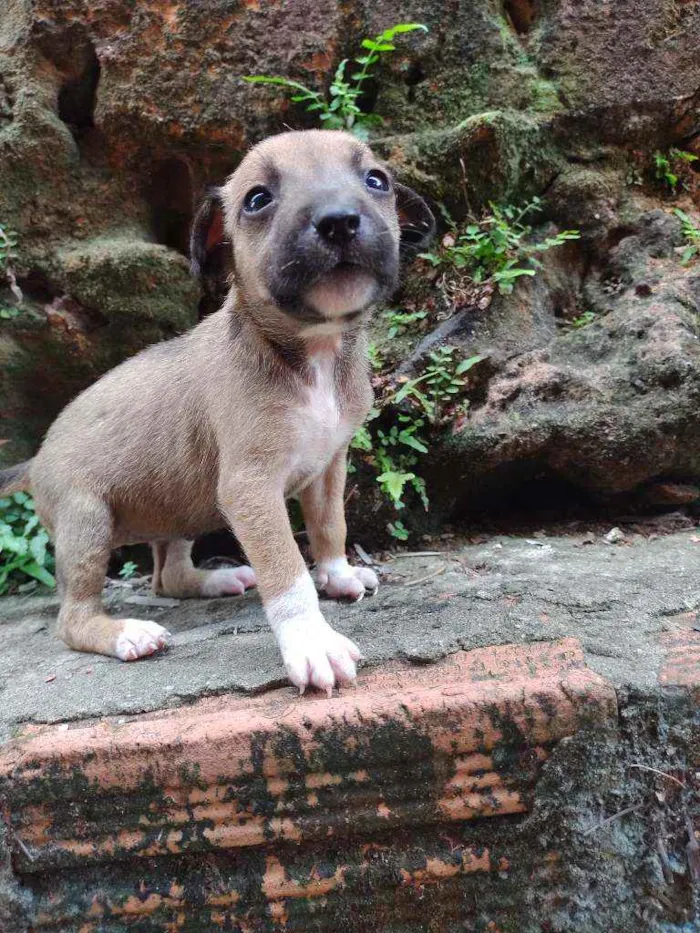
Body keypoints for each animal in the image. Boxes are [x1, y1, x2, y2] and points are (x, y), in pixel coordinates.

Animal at [0, 133, 434, 700]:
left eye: (375, 180)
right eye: (257, 199)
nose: (339, 221)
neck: (311, 351)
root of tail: (35, 458)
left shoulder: (329, 467)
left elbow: (330, 527)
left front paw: (338, 576)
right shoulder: (251, 489)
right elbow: (287, 570)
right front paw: (312, 642)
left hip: (179, 502)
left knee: (167, 576)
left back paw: (214, 579)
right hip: (86, 522)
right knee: (73, 618)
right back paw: (124, 633)